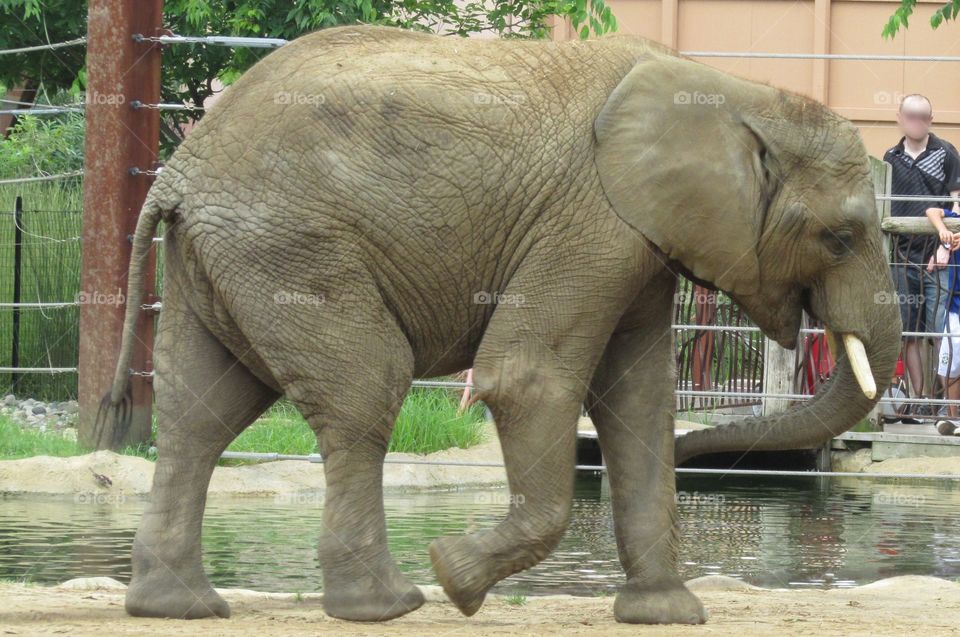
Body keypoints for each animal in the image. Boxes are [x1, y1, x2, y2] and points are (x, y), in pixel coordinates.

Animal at [101, 26, 904, 628]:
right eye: (840, 238)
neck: (736, 92)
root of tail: (180, 170)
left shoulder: (637, 235)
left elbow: (639, 402)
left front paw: (668, 615)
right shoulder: (591, 217)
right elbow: (527, 379)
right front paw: (456, 576)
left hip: (230, 260)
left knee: (200, 413)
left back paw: (180, 607)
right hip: (290, 247)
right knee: (365, 389)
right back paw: (388, 604)